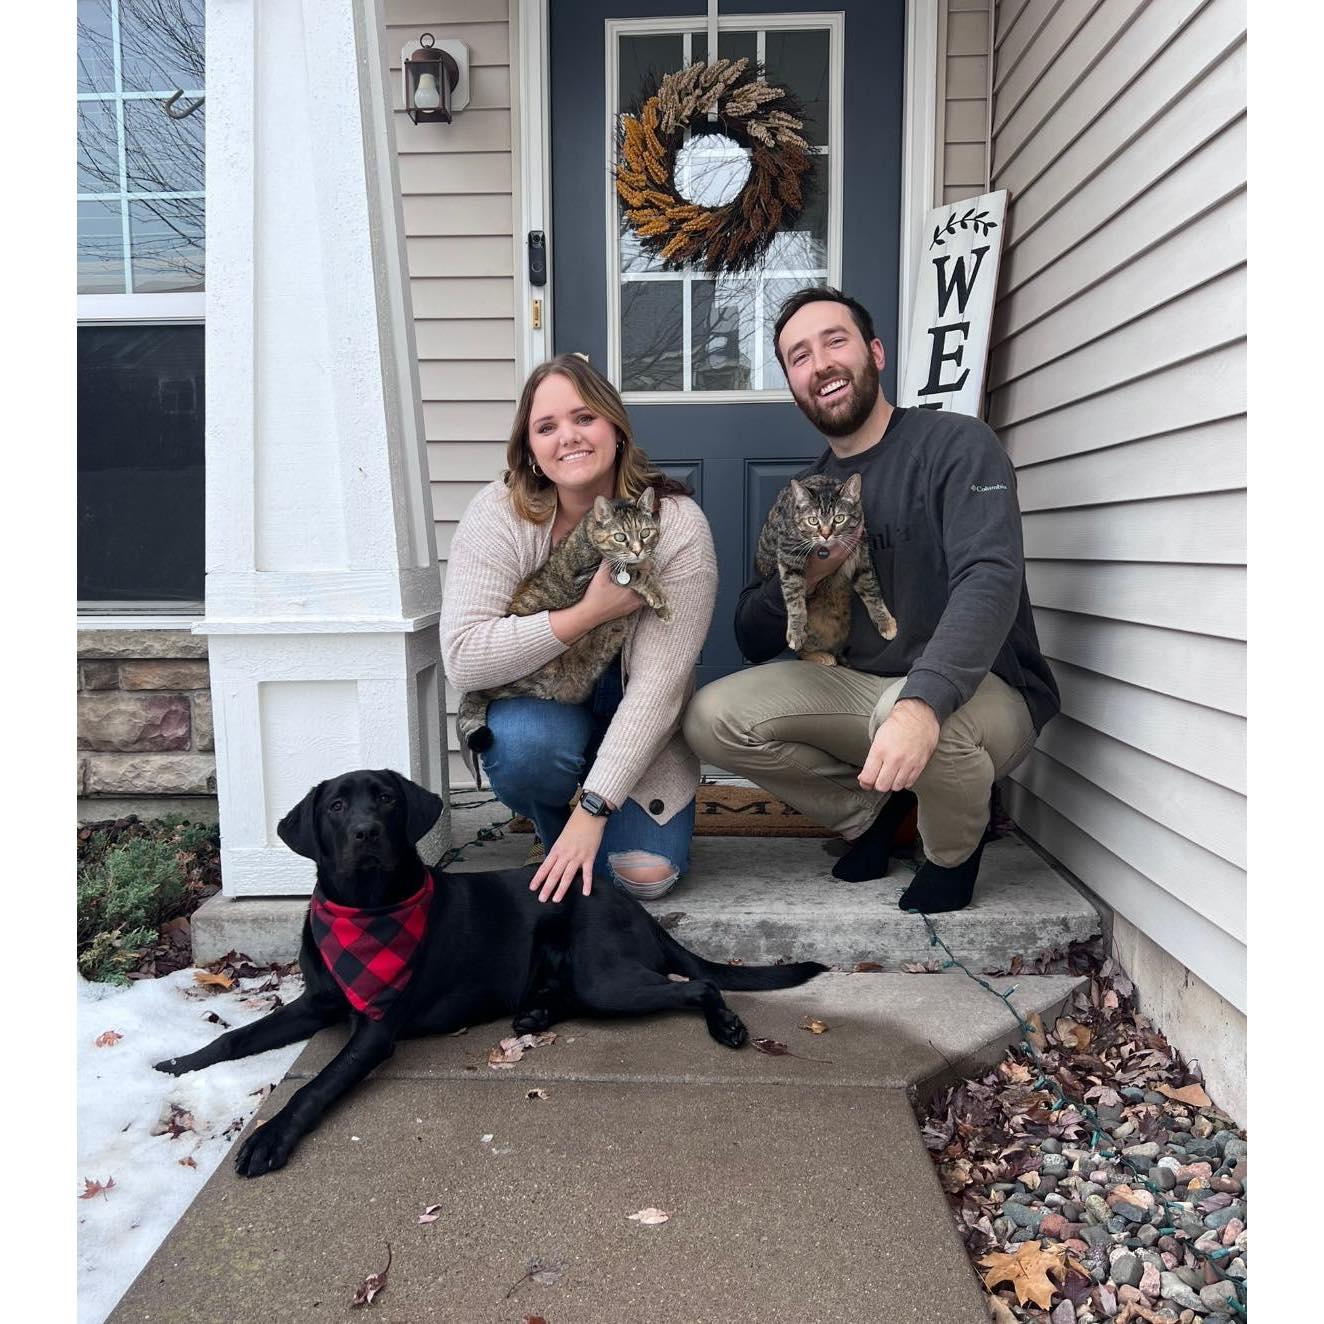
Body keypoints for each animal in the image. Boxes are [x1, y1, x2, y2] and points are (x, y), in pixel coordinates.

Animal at [156, 769, 827, 1178]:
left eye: (387, 799)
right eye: (338, 805)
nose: (365, 832)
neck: (367, 908)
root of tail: (628, 902)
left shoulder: (374, 1030)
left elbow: (315, 1086)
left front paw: (269, 1138)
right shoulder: (319, 1001)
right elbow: (237, 1037)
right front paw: (180, 1062)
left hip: (604, 978)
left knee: (699, 983)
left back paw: (726, 1027)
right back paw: (534, 1014)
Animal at [457, 488, 670, 778]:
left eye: (646, 532)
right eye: (620, 537)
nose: (637, 550)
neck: (588, 533)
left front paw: (660, 601)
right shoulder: (593, 576)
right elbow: (635, 573)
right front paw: (657, 594)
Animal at [754, 471, 897, 665]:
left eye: (839, 518)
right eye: (813, 521)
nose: (826, 534)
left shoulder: (860, 557)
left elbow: (872, 590)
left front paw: (885, 622)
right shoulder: (788, 555)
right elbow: (794, 597)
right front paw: (796, 631)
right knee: (802, 652)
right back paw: (821, 655)